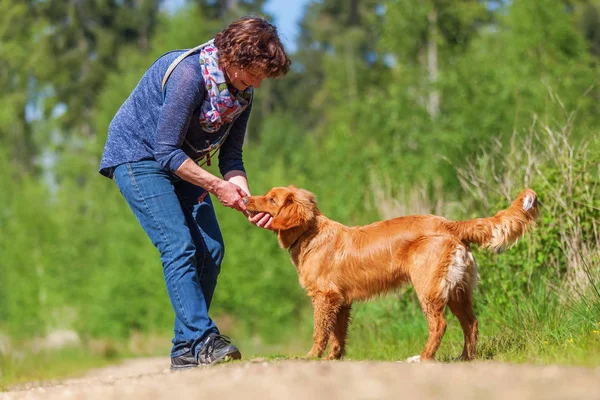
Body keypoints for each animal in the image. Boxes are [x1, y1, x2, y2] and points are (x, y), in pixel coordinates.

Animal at [244, 186, 540, 360]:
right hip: (458, 290)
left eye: (271, 199)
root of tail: (449, 224)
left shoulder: (324, 298)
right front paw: (333, 360)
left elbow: (321, 332)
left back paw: (424, 357)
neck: (310, 234)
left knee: (440, 325)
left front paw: (311, 357)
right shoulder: (342, 302)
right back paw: (465, 358)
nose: (245, 198)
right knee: (471, 323)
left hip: (429, 289)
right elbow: (338, 337)